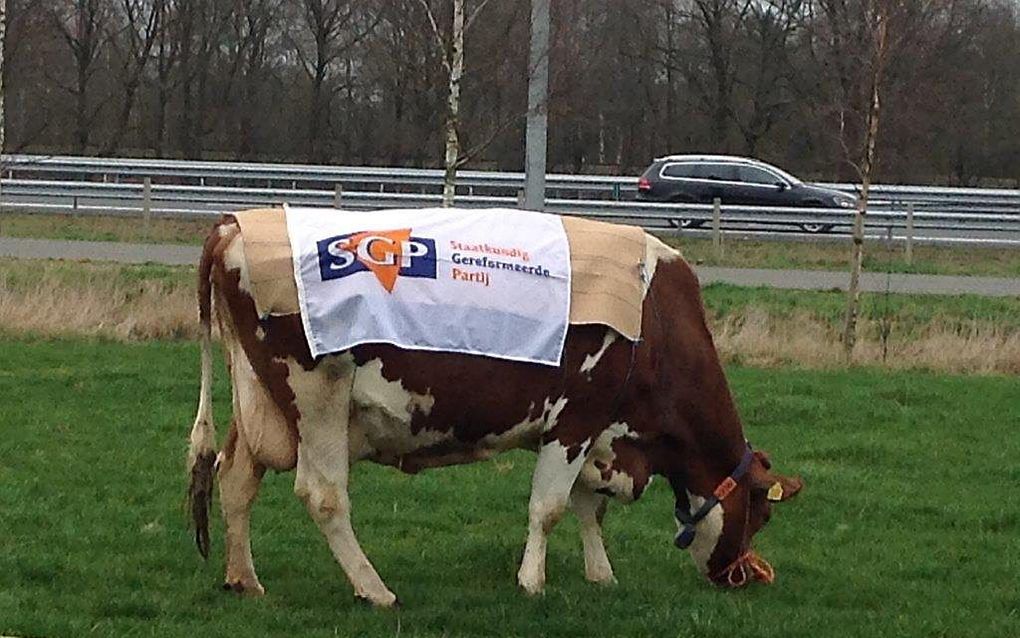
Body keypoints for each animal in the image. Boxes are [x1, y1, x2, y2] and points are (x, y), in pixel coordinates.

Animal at [187, 211, 799, 604]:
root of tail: (234, 225)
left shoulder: (598, 432)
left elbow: (588, 507)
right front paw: (532, 583)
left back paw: (244, 579)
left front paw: (600, 575)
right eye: (763, 514)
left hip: (259, 397)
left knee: (235, 475)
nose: (741, 577)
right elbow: (550, 506)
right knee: (323, 495)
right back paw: (374, 590)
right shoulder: (577, 416)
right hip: (317, 397)